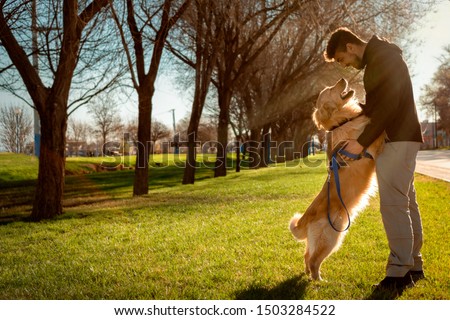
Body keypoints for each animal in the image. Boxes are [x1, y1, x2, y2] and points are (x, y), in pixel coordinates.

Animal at [288, 79, 384, 282]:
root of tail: (307, 217)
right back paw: (319, 281)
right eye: (330, 89)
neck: (341, 123)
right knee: (314, 260)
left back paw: (308, 275)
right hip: (332, 236)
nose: (342, 79)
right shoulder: (370, 142)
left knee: (306, 255)